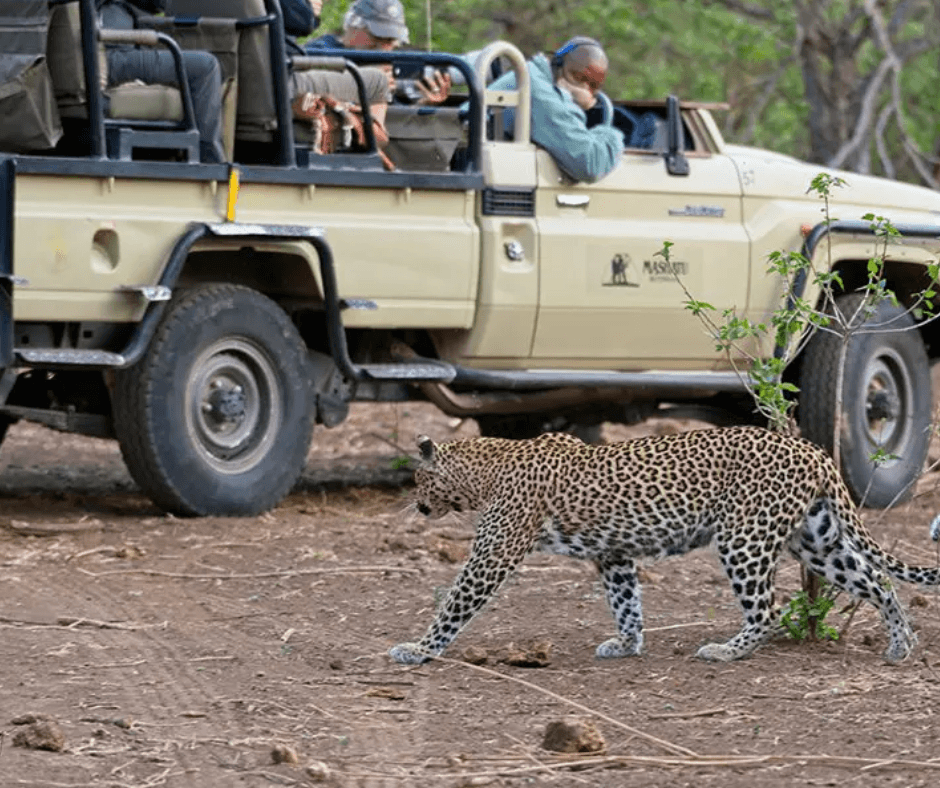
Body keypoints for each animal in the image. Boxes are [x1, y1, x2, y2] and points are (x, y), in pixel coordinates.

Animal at [388, 426, 940, 666]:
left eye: (417, 478)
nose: (417, 506)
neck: (485, 468)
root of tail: (813, 450)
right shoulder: (613, 555)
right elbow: (626, 602)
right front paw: (627, 644)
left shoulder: (495, 552)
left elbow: (454, 604)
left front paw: (417, 649)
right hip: (817, 540)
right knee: (878, 580)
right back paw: (901, 645)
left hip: (744, 537)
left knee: (766, 608)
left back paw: (726, 651)